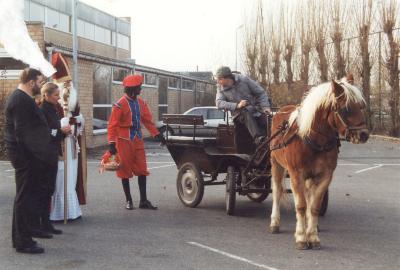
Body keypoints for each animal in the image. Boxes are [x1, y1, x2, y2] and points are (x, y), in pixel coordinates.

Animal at [268, 75, 368, 249]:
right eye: (346, 109)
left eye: (361, 106)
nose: (364, 135)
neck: (313, 139)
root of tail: (280, 110)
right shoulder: (296, 175)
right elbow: (301, 205)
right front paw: (301, 236)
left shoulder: (325, 176)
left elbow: (314, 206)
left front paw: (312, 235)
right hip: (276, 164)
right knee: (277, 191)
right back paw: (275, 222)